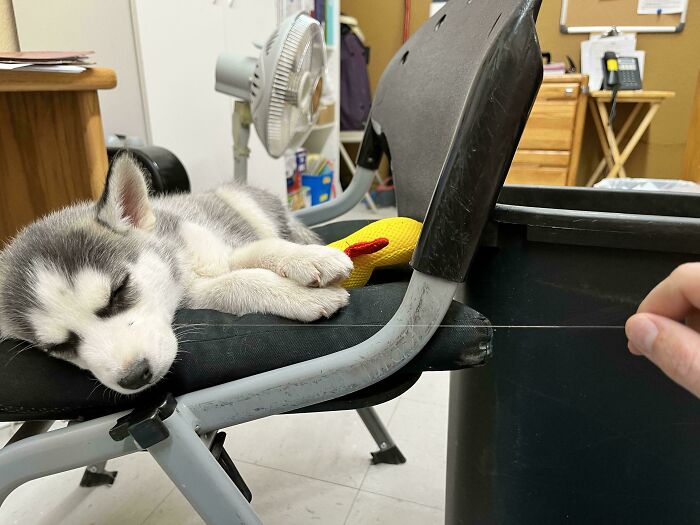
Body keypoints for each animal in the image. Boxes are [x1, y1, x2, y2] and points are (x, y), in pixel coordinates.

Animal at [0, 156, 352, 392]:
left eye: (119, 291)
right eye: (58, 348)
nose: (135, 377)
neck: (183, 266)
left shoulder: (223, 248)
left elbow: (264, 248)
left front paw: (311, 259)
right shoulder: (197, 293)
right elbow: (239, 283)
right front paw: (301, 295)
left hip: (239, 201)